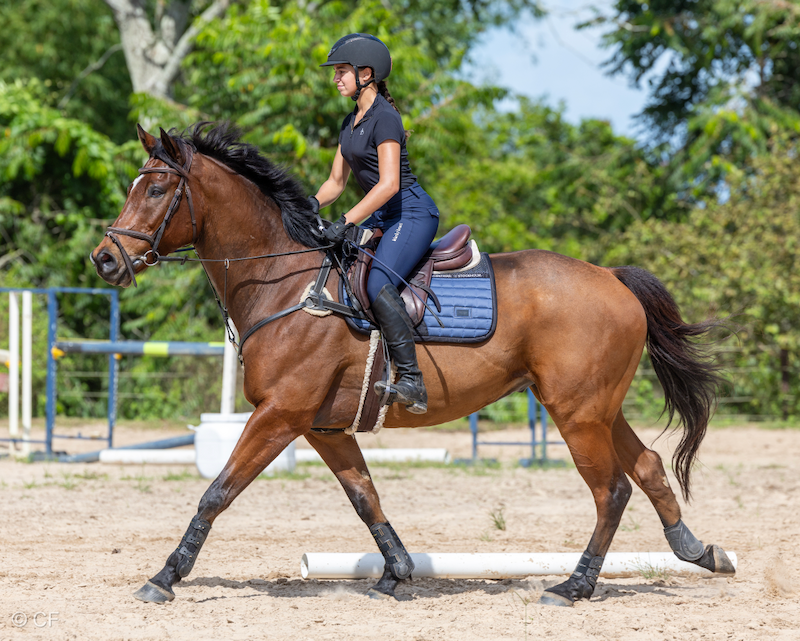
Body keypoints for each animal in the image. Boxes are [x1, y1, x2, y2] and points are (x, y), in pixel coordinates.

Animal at [90, 122, 736, 608]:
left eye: (154, 191)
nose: (105, 260)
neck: (287, 284)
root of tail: (611, 277)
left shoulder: (279, 415)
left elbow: (216, 492)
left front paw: (165, 577)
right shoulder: (321, 424)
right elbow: (365, 496)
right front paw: (396, 572)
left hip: (576, 413)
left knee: (610, 490)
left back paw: (573, 586)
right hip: (597, 407)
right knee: (648, 467)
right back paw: (699, 552)